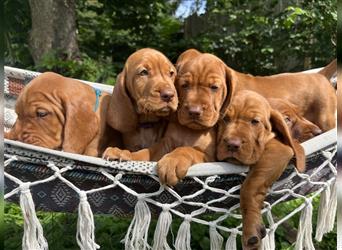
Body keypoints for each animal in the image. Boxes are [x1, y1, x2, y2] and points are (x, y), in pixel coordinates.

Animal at [216, 90, 304, 250]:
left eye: (255, 122)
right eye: (225, 118)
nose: (232, 144)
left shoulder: (279, 149)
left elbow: (249, 187)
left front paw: (250, 227)